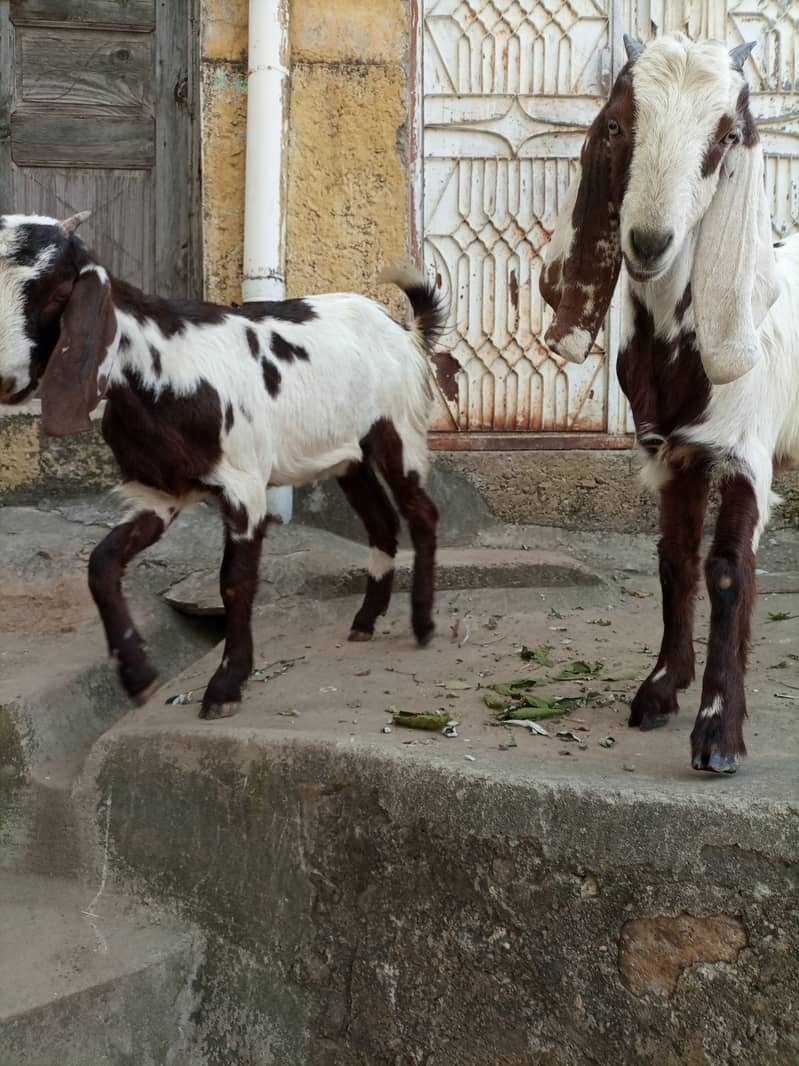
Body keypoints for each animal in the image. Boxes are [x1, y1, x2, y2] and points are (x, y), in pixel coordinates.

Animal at [0, 213, 445, 720]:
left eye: (58, 293)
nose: (5, 381)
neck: (165, 370)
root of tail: (406, 332)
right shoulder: (159, 493)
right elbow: (102, 564)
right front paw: (138, 675)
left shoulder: (244, 488)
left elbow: (234, 582)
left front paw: (227, 684)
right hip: (348, 456)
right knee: (382, 523)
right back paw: (366, 620)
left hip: (396, 433)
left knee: (421, 513)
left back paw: (423, 624)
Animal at [541, 31, 796, 767]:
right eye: (616, 124)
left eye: (728, 133)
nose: (649, 242)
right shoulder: (670, 451)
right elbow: (673, 556)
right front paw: (659, 688)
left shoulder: (745, 453)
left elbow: (728, 569)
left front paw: (717, 732)